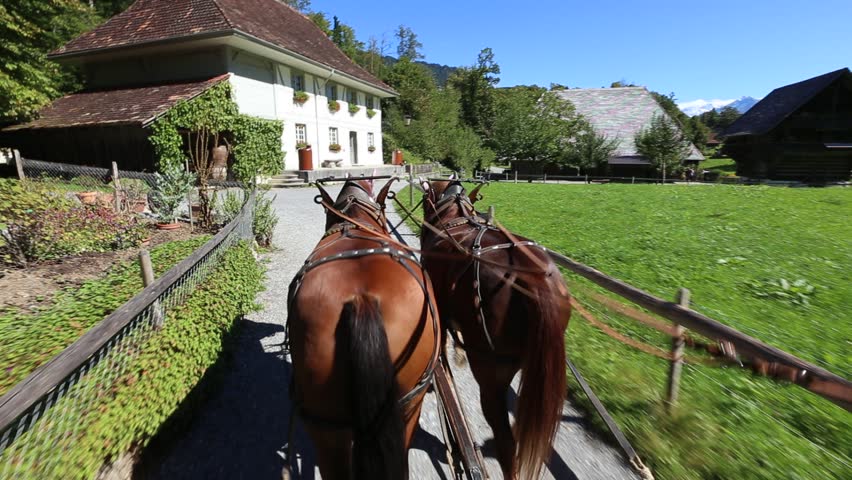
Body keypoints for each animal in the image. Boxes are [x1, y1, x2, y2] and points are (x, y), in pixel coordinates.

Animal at [419, 179, 571, 479]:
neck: (452, 215)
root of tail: (535, 279)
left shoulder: (437, 307)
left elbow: (439, 348)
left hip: (490, 368)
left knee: (504, 436)